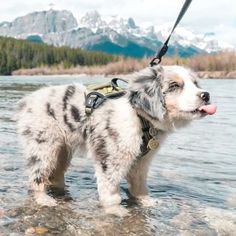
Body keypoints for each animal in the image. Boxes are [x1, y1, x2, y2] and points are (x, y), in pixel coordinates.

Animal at [16, 65, 216, 214]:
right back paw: (45, 200)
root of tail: (26, 102)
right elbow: (111, 190)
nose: (206, 95)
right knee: (36, 177)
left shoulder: (142, 160)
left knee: (55, 175)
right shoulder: (109, 157)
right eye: (174, 85)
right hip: (44, 145)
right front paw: (116, 210)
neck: (140, 118)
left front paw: (146, 202)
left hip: (63, 151)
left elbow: (139, 186)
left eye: (195, 83)